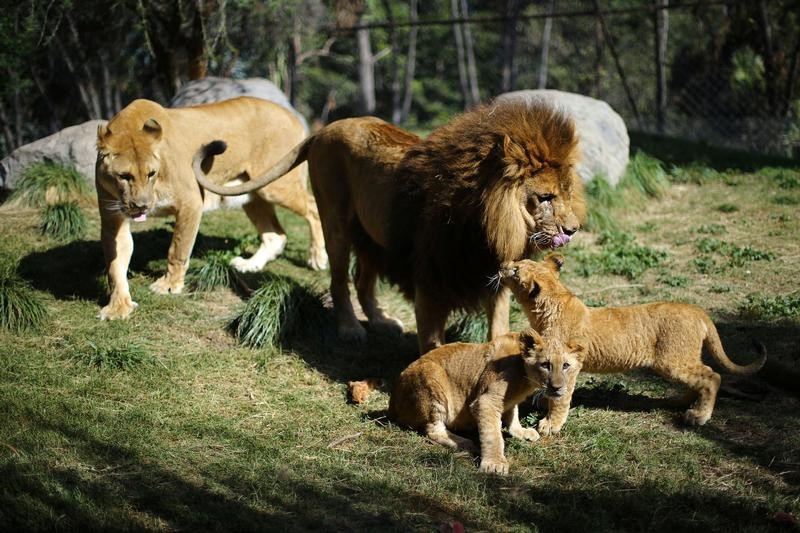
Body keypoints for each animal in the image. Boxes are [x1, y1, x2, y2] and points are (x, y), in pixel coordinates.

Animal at [95, 96, 326, 320]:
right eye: (124, 176)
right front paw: (118, 307)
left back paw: (317, 258)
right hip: (253, 194)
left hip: (276, 186)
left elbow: (178, 249)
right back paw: (249, 265)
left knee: (313, 208)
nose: (142, 206)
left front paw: (169, 286)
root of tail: (293, 116)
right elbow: (115, 266)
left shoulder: (191, 203)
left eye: (151, 173)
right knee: (275, 235)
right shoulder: (113, 220)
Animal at [193, 97, 580, 352]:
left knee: (363, 282)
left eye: (566, 192)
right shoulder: (430, 282)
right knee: (339, 282)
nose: (573, 229)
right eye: (545, 197)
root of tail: (326, 128)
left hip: (372, 237)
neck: (485, 223)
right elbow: (433, 344)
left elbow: (497, 332)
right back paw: (350, 329)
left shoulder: (492, 280)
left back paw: (380, 320)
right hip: (336, 221)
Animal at [386, 328, 580, 474]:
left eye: (565, 365)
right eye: (546, 365)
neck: (526, 379)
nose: (557, 388)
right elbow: (493, 435)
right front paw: (494, 463)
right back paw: (463, 442)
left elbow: (512, 415)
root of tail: (392, 402)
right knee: (433, 430)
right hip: (432, 379)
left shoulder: (508, 401)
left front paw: (521, 431)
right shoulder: (486, 401)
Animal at [500, 254, 768, 428]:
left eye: (516, 270)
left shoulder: (571, 364)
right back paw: (678, 402)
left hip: (672, 361)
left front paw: (549, 425)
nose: (502, 265)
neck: (553, 303)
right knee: (699, 379)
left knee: (712, 376)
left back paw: (698, 416)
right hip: (682, 360)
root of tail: (697, 310)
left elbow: (562, 399)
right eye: (517, 264)